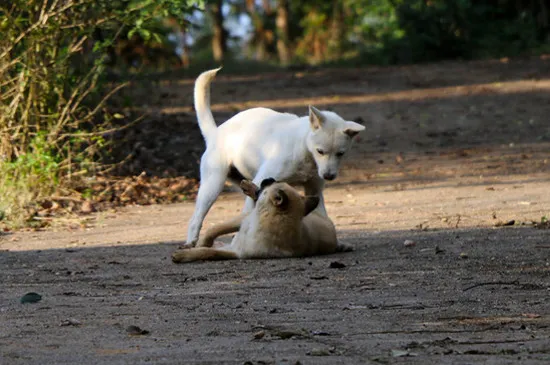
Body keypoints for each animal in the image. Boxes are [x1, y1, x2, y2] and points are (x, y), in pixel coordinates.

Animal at [171, 178, 354, 262]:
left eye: (272, 185)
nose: (269, 179)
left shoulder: (238, 253)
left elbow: (209, 252)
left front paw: (185, 255)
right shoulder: (242, 222)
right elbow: (214, 230)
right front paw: (202, 243)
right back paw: (248, 186)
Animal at [185, 67, 366, 246]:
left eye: (341, 153)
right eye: (320, 151)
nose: (328, 176)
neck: (303, 148)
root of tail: (215, 133)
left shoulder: (314, 190)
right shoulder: (262, 179)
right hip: (212, 186)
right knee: (196, 218)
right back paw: (191, 241)